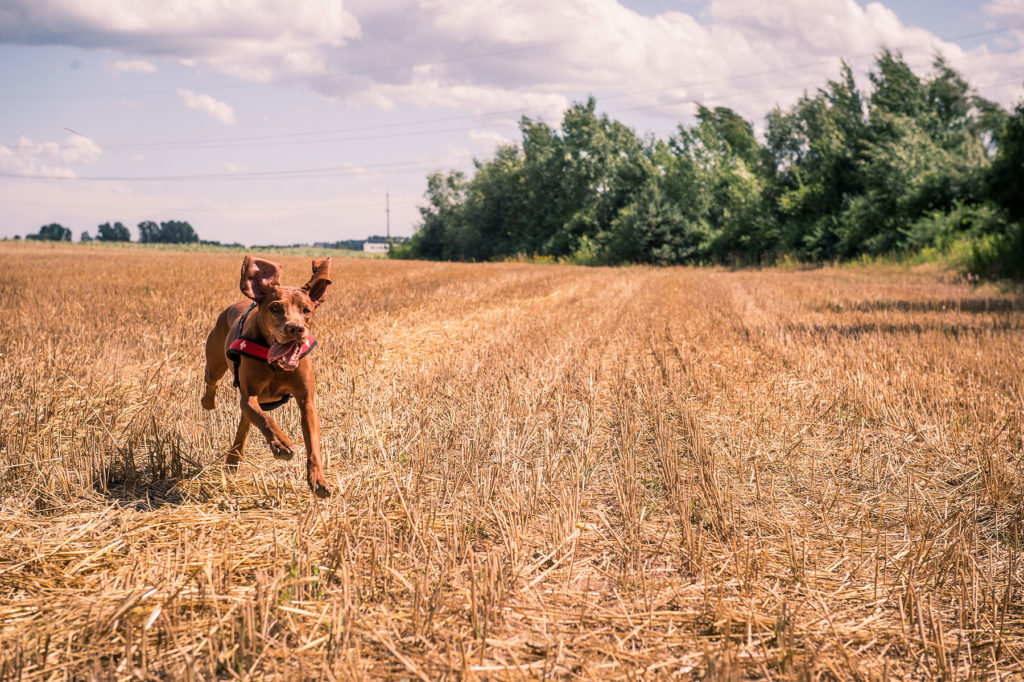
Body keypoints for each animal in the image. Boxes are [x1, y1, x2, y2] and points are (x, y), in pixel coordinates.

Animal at [203, 253, 335, 493]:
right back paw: (209, 403)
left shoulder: (307, 403)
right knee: (212, 383)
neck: (276, 364)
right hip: (215, 360)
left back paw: (233, 458)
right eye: (275, 308)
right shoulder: (249, 396)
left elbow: (313, 443)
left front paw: (318, 478)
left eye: (306, 310)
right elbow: (266, 420)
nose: (295, 328)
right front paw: (282, 444)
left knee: (244, 424)